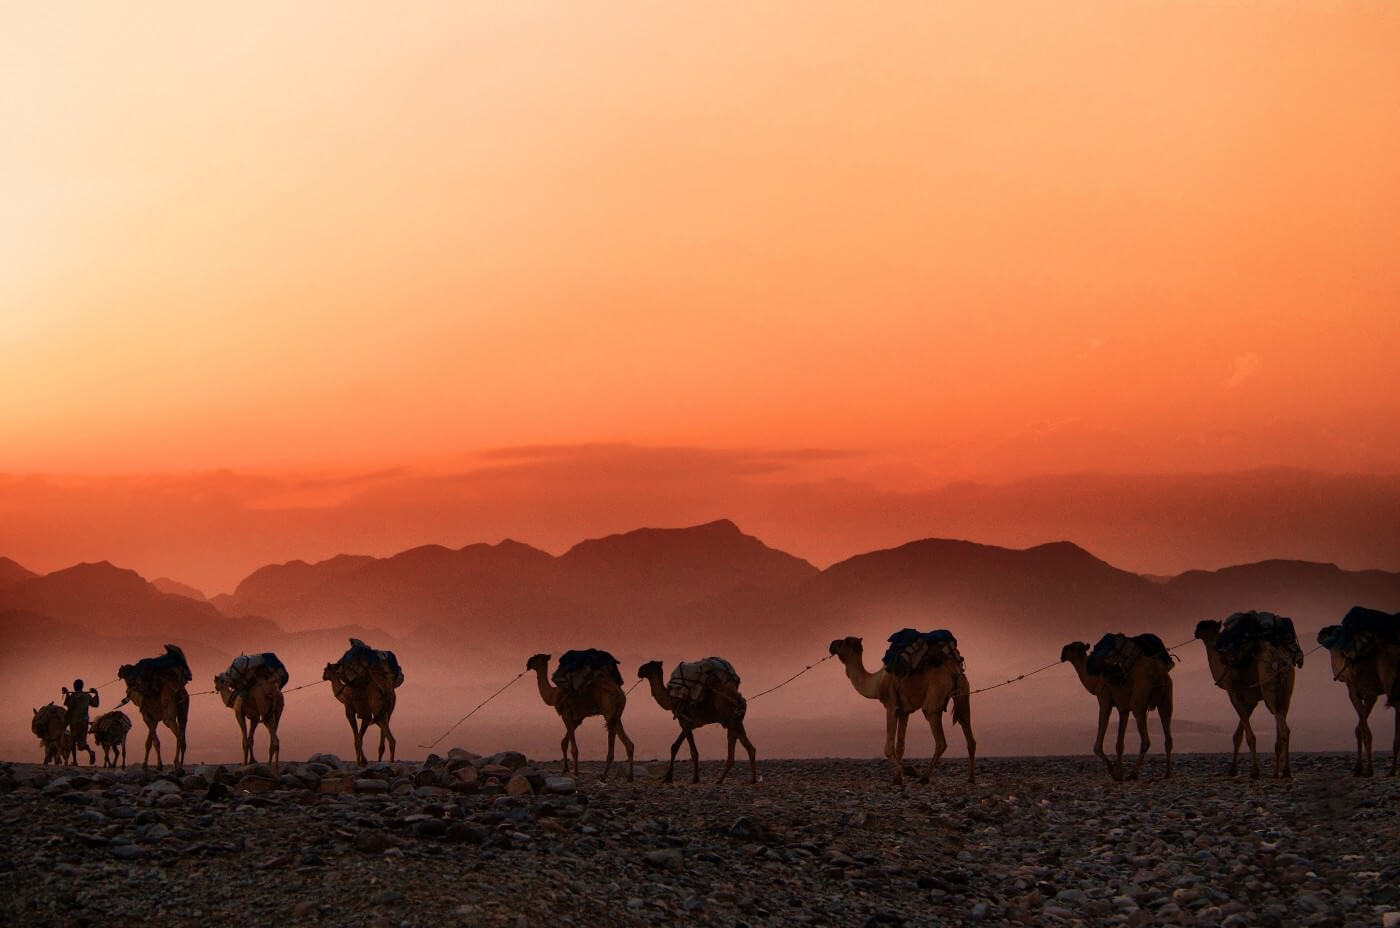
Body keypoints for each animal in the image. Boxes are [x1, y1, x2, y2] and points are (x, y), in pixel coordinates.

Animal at [527, 652, 634, 782]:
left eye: (536, 658)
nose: (528, 663)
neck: (553, 695)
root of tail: (619, 693)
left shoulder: (566, 712)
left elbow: (573, 748)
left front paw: (576, 773)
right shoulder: (578, 718)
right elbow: (564, 742)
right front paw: (565, 769)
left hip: (609, 711)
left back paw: (604, 776)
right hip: (616, 715)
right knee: (629, 744)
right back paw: (629, 777)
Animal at [827, 636, 975, 786]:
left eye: (842, 642)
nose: (831, 644)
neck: (876, 683)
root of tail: (954, 671)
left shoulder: (891, 707)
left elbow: (888, 748)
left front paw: (909, 771)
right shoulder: (904, 712)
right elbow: (900, 746)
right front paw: (897, 778)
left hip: (935, 697)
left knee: (940, 739)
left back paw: (924, 777)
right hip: (964, 695)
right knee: (967, 730)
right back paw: (970, 778)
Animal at [1060, 637, 1174, 781]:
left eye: (1071, 647)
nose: (1062, 653)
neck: (1094, 678)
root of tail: (1158, 671)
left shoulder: (1104, 698)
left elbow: (1097, 746)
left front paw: (1114, 772)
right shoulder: (1123, 708)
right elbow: (1119, 744)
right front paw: (1119, 772)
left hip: (1139, 699)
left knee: (1145, 740)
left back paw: (1134, 774)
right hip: (1166, 697)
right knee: (1167, 731)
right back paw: (1167, 773)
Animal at [1194, 617, 1300, 779]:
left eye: (1205, 626)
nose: (1196, 630)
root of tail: (1281, 659)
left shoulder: (1234, 694)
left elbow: (1249, 736)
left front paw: (1254, 771)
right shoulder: (1251, 701)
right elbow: (1238, 735)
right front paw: (1233, 770)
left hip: (1269, 690)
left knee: (1284, 728)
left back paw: (1286, 771)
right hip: (1286, 693)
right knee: (1281, 722)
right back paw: (1279, 772)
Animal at [1318, 607, 1400, 777]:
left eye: (1333, 631)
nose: (1321, 631)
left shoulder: (1354, 690)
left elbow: (1364, 730)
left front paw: (1366, 770)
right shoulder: (1371, 695)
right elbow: (1359, 729)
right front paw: (1359, 768)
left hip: (1389, 678)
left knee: (1397, 705)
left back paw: (1392, 768)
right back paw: (1392, 769)